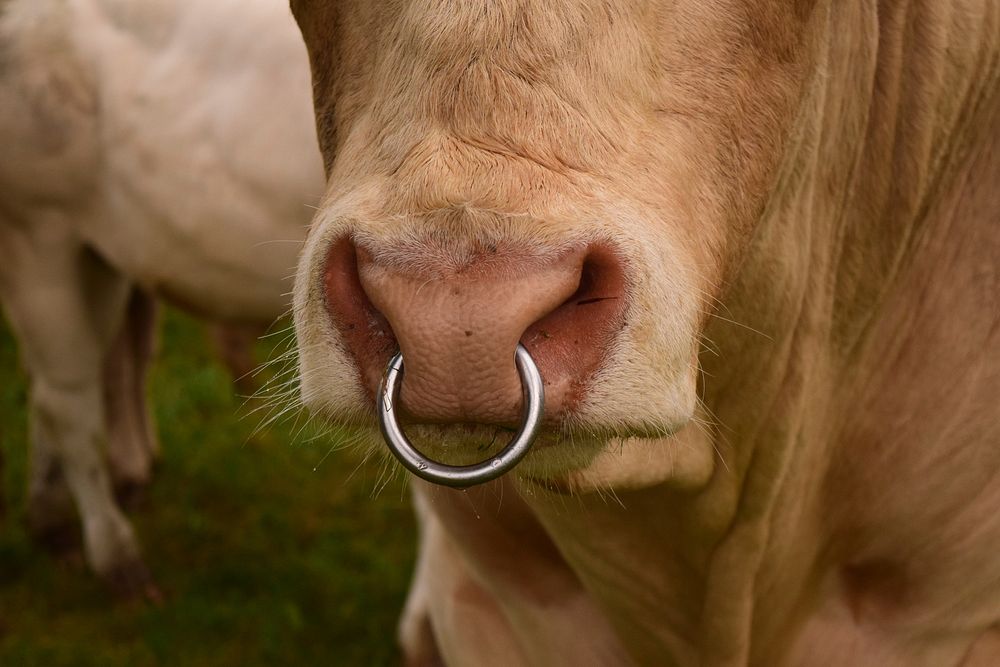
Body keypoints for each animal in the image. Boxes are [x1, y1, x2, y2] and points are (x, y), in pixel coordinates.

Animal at [0, 0, 322, 596]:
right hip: (38, 235)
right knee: (67, 399)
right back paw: (116, 556)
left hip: (102, 254)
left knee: (64, 378)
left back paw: (53, 521)